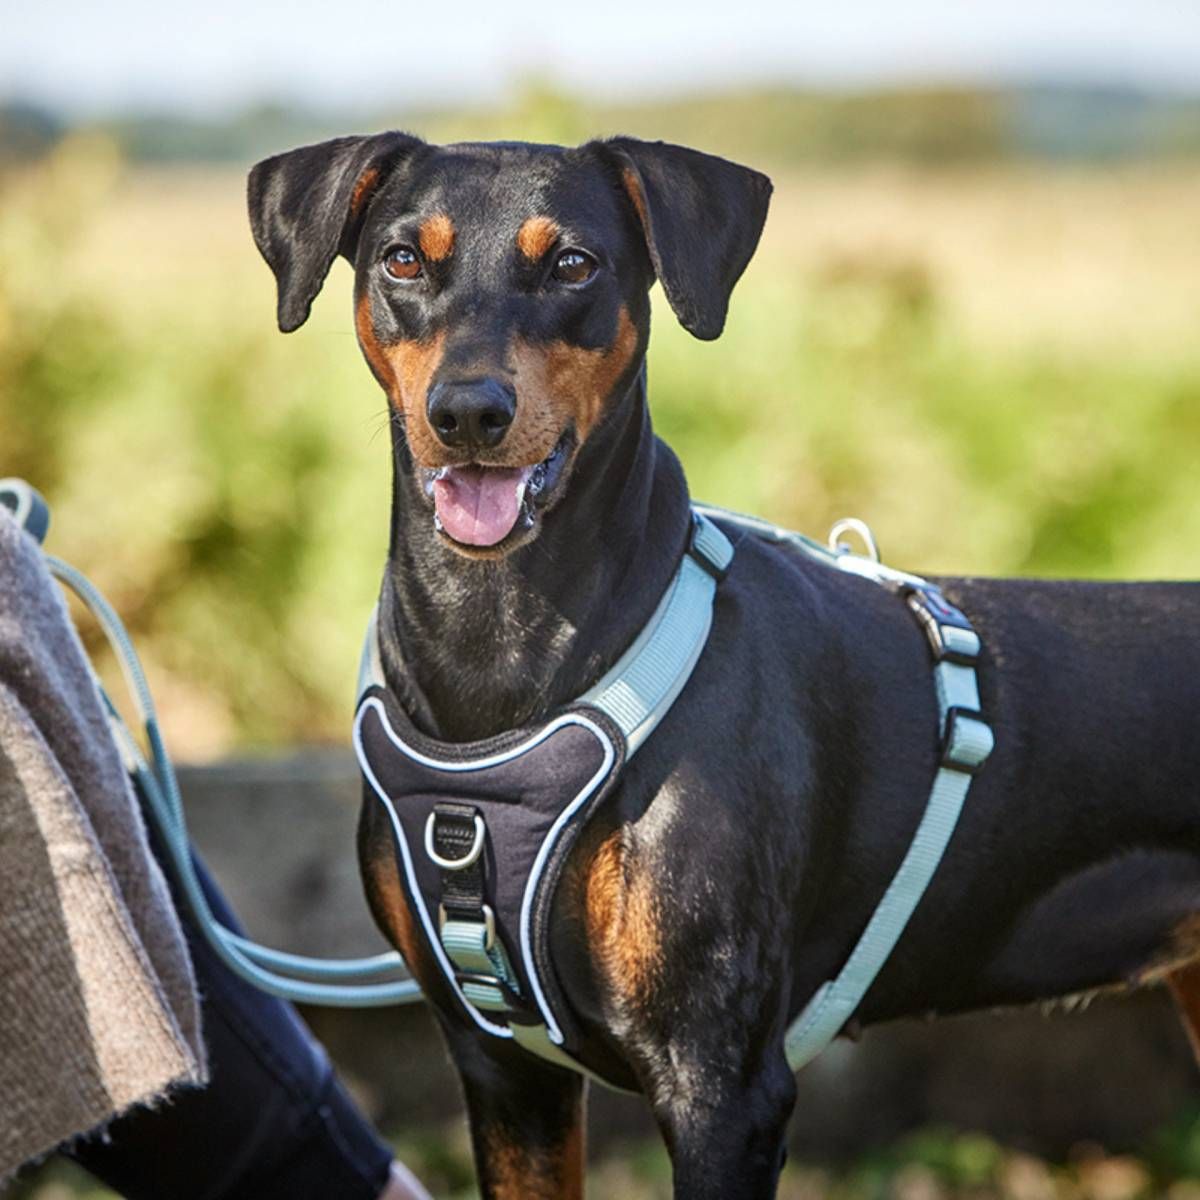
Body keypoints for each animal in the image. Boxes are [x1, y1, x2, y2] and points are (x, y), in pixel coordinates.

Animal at [248, 133, 1200, 1199]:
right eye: (404, 260)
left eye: (573, 263)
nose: (467, 413)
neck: (499, 650)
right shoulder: (500, 1066)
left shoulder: (720, 1083)